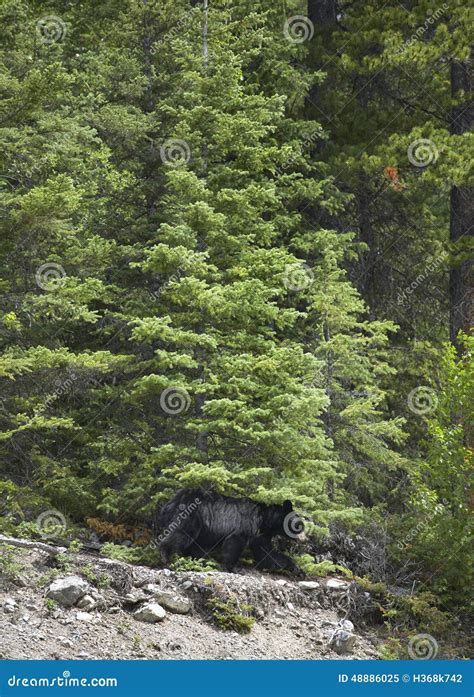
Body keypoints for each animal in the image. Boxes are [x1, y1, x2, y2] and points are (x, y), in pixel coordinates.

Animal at [156, 486, 304, 572]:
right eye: (299, 524)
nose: (303, 538)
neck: (265, 520)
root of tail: (172, 501)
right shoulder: (246, 525)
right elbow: (234, 543)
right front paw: (233, 568)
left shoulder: (261, 536)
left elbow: (267, 554)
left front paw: (296, 567)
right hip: (191, 516)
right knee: (182, 534)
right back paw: (166, 556)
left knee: (196, 545)